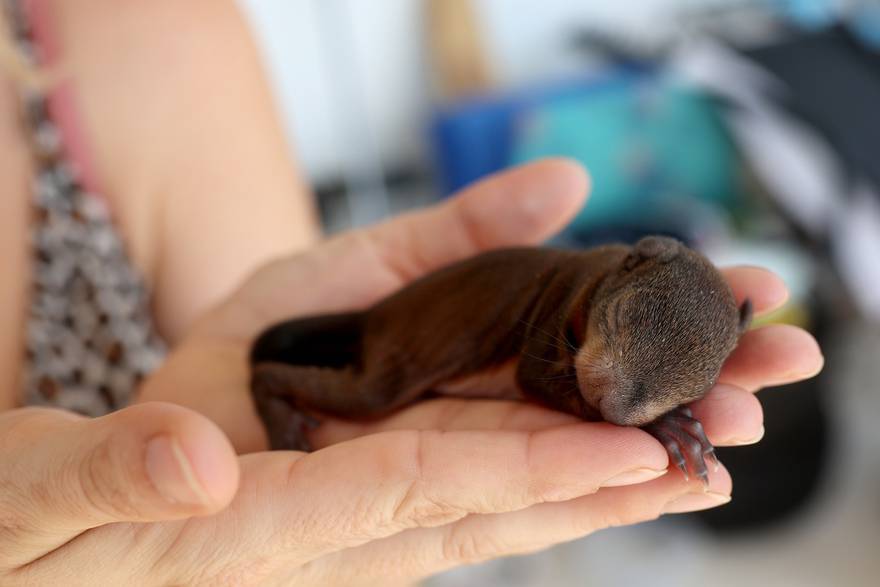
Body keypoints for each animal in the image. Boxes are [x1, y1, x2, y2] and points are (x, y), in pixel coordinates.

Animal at [251, 237, 752, 484]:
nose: (612, 406)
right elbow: (534, 379)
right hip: (390, 369)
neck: (599, 277)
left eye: (695, 386)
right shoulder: (556, 312)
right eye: (617, 316)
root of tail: (373, 314)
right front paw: (669, 428)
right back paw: (278, 413)